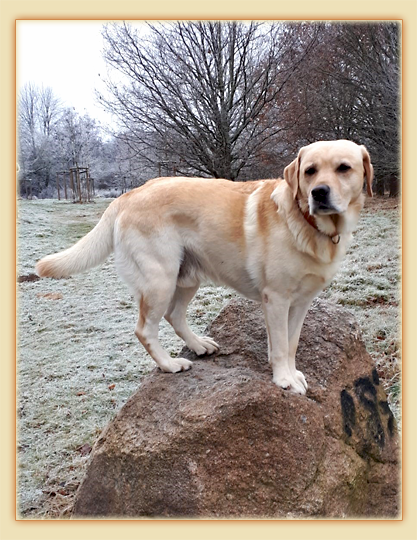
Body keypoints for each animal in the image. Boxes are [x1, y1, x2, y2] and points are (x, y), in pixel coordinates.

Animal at [37, 139, 372, 394]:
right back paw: (171, 364)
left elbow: (290, 344)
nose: (319, 192)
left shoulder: (300, 302)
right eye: (309, 171)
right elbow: (279, 345)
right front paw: (284, 380)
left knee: (174, 316)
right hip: (160, 280)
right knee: (145, 329)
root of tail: (130, 194)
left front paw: (292, 372)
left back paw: (199, 345)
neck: (308, 223)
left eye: (343, 168)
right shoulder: (276, 298)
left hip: (186, 278)